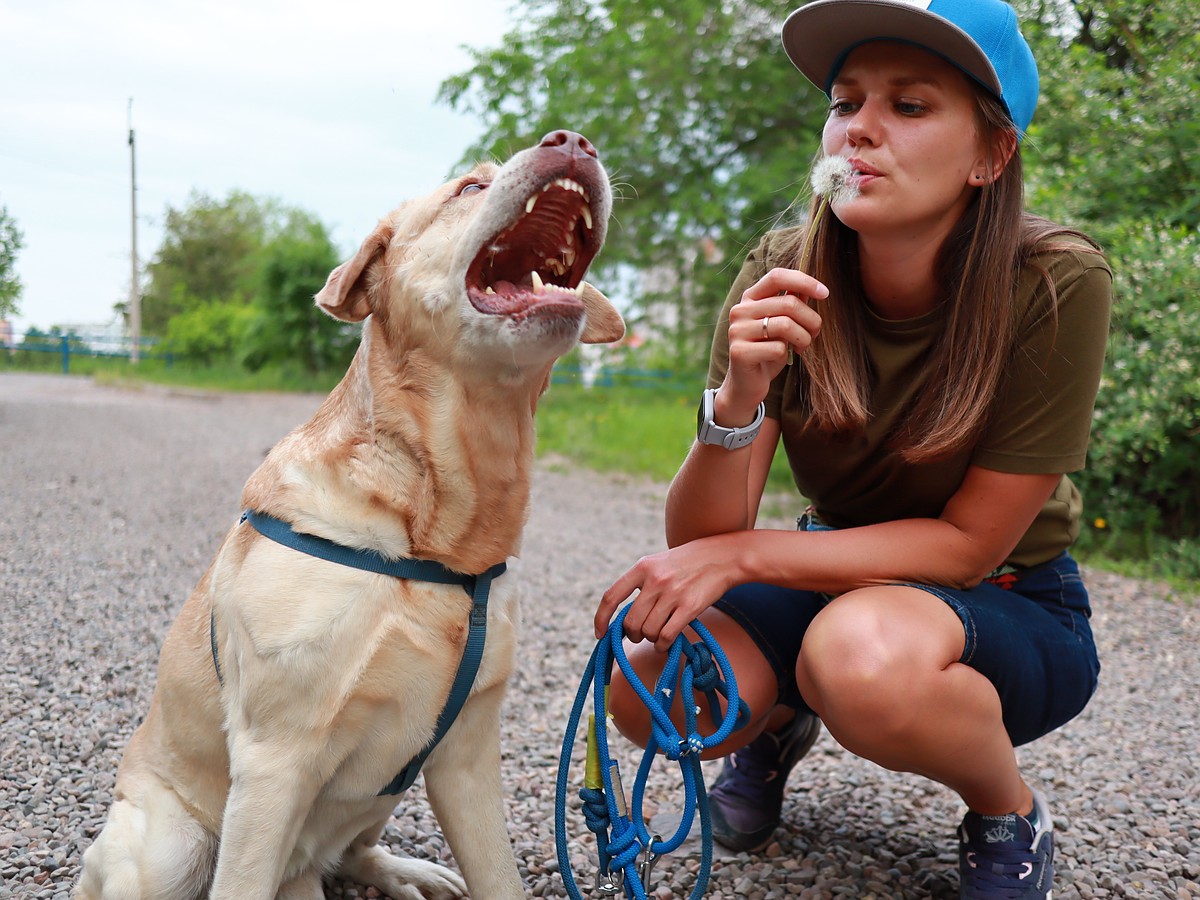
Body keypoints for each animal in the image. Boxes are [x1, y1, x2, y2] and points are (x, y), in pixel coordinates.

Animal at [76, 128, 624, 900]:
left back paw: (405, 870)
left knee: (349, 851)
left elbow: (499, 877)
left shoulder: (466, 757)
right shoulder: (275, 762)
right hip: (172, 847)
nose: (573, 141)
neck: (432, 531)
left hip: (388, 790)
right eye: (469, 188)